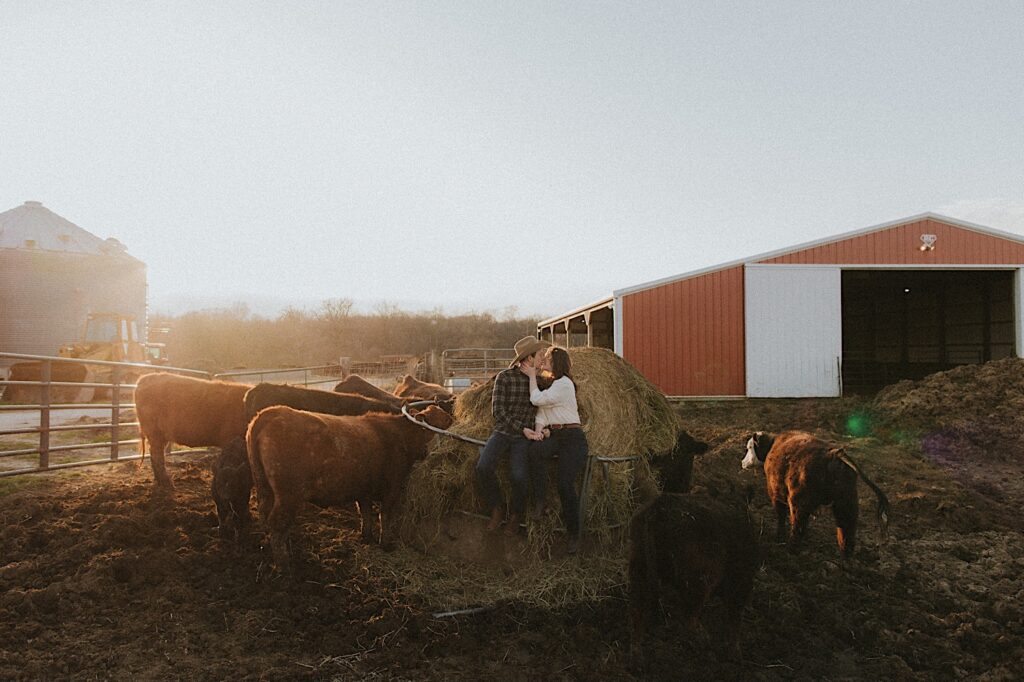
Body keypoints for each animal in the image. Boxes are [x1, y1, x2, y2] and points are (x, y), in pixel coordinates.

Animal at [245, 403, 454, 561]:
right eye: (444, 420)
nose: (453, 419)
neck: (401, 436)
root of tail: (271, 412)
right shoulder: (392, 489)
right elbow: (384, 517)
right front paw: (385, 544)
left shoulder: (364, 490)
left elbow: (366, 514)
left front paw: (366, 537)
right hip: (288, 494)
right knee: (277, 522)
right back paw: (284, 563)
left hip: (265, 488)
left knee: (266, 516)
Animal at [622, 489, 761, 663]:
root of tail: (660, 506)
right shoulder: (740, 583)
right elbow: (735, 618)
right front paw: (735, 653)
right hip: (699, 583)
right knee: (689, 616)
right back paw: (703, 639)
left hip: (640, 570)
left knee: (637, 610)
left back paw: (637, 655)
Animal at [745, 430, 888, 552]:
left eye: (750, 447)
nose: (743, 462)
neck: (773, 445)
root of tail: (834, 455)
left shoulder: (776, 495)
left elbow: (781, 516)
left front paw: (779, 538)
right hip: (846, 503)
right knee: (847, 531)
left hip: (799, 503)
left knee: (798, 527)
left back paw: (791, 549)